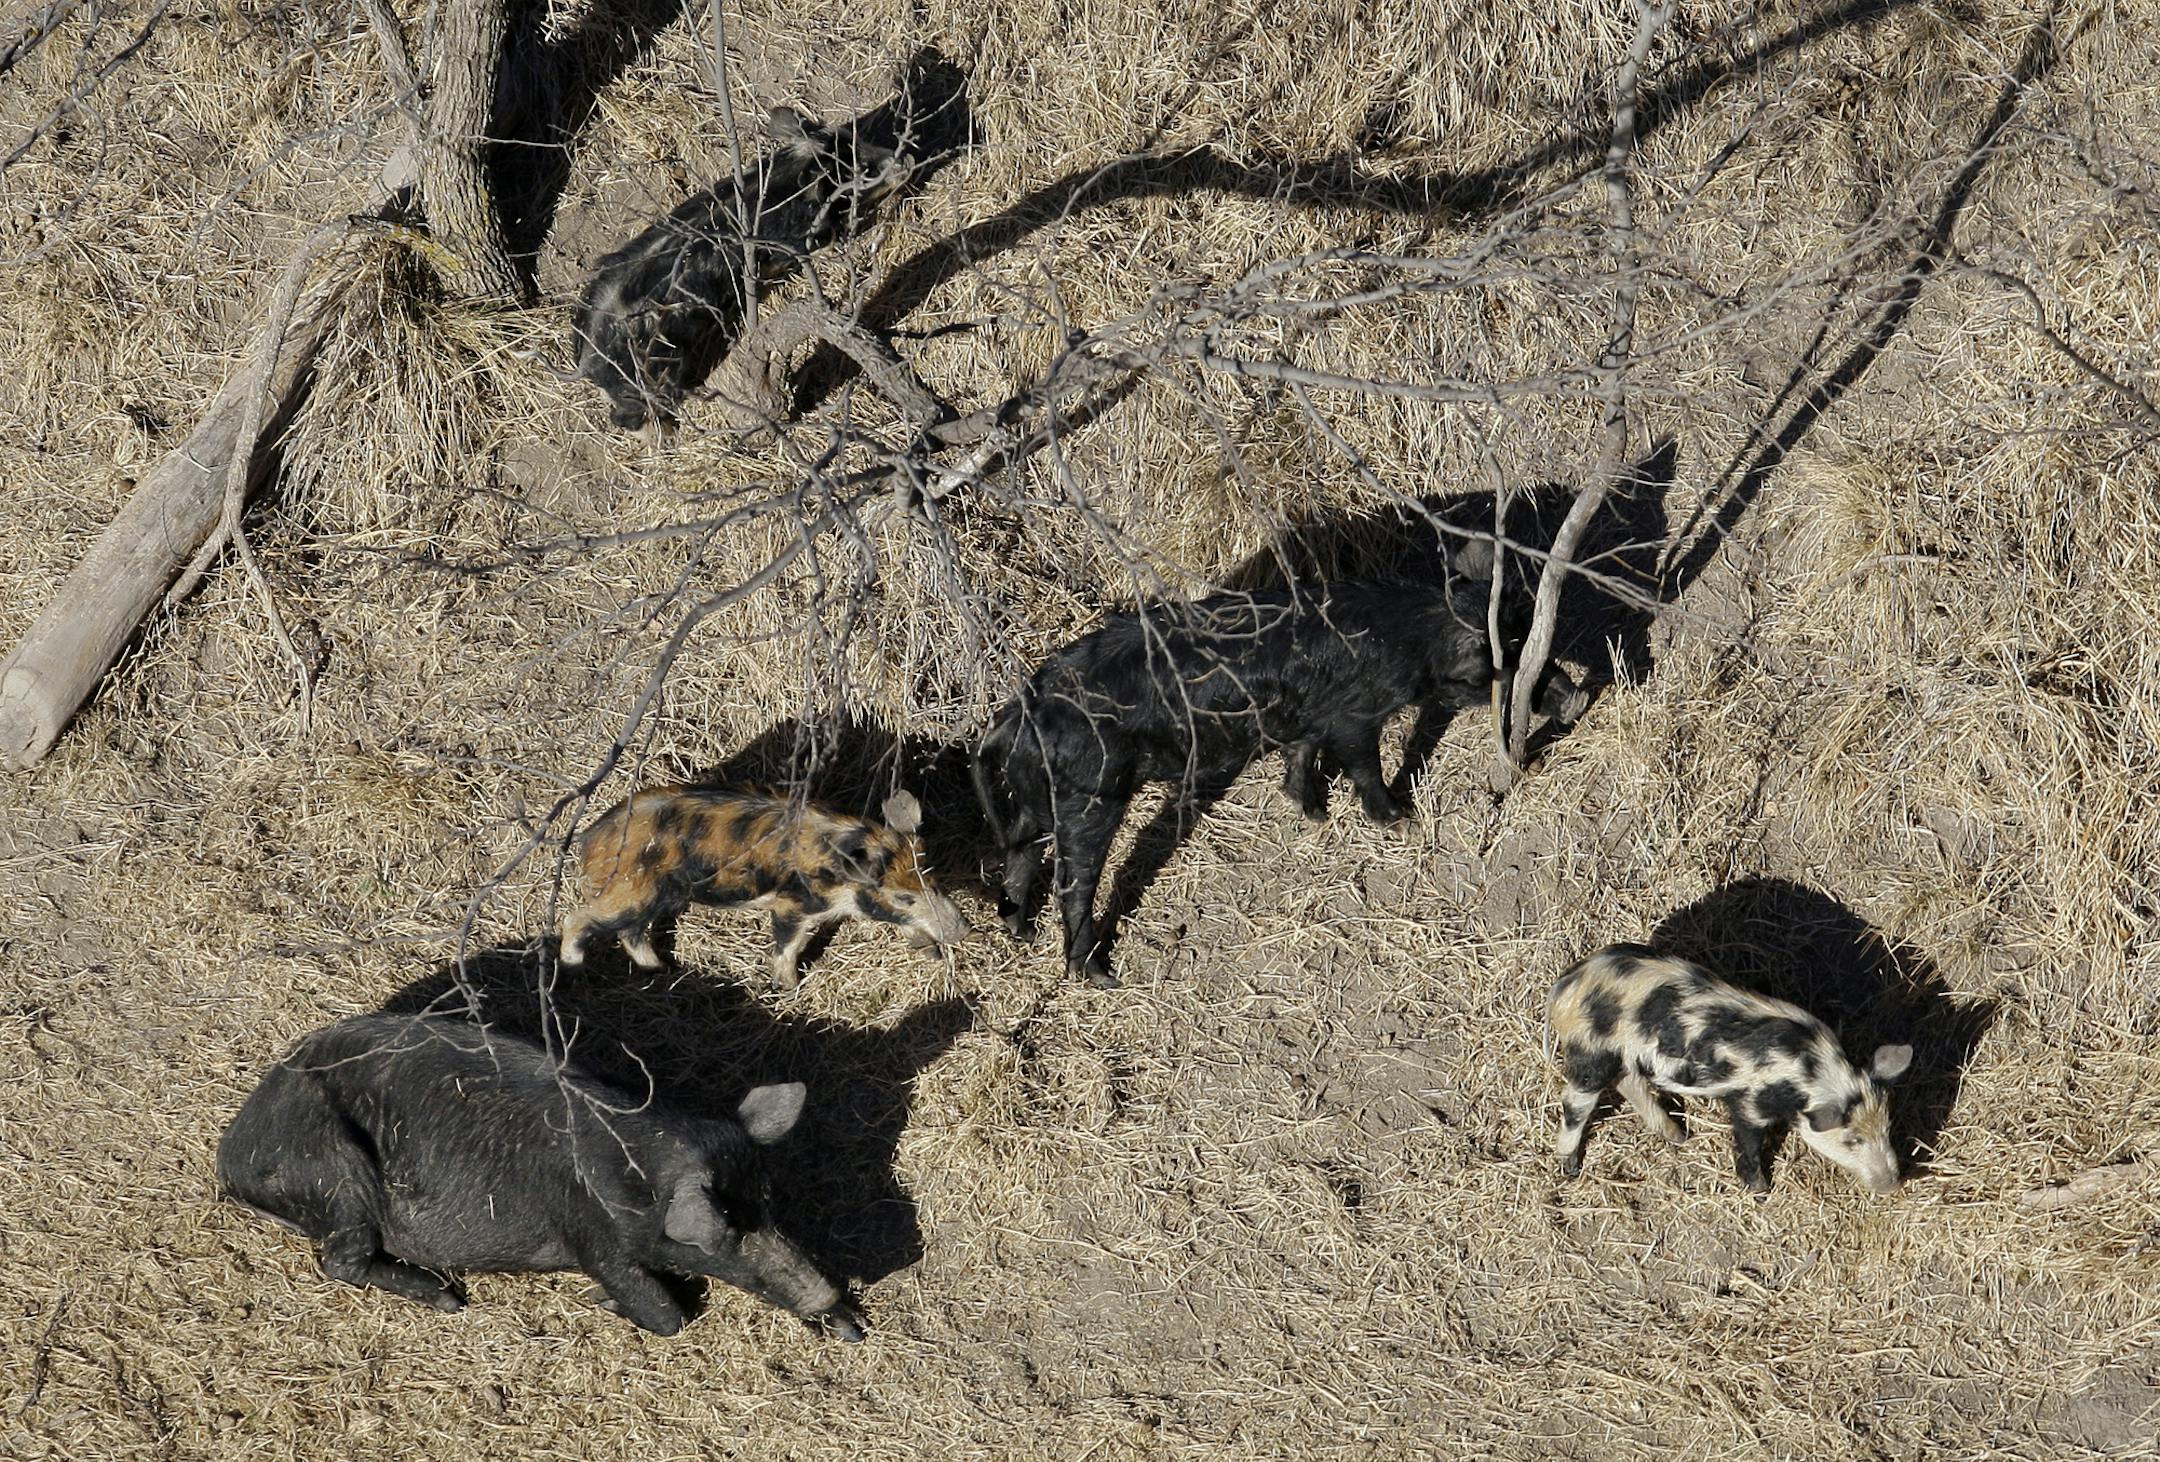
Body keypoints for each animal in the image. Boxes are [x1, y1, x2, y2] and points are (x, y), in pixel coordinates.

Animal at [216, 1013, 865, 1339]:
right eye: (728, 1232)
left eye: (769, 1203)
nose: (827, 1295)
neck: (642, 1179)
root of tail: (230, 1157)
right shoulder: (594, 1234)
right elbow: (668, 1318)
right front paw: (601, 1300)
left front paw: (851, 1323)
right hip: (337, 1168)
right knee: (340, 1260)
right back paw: (449, 1299)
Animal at [558, 785, 969, 988]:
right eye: (904, 896)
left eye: (932, 877)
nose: (964, 930)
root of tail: (590, 839)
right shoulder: (791, 905)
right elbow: (787, 946)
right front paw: (790, 988)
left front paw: (933, 954)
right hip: (631, 891)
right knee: (578, 919)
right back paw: (572, 971)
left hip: (654, 895)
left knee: (630, 932)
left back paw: (661, 970)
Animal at [571, 107, 915, 432]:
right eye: (864, 171)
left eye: (859, 142)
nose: (907, 159)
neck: (781, 185)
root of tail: (587, 358)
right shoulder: (792, 246)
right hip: (655, 371)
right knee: (631, 414)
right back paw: (669, 432)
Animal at [973, 577, 1582, 985]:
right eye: (1505, 657)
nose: (1574, 694)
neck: (1408, 637)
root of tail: (1014, 714)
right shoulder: (1353, 715)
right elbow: (1363, 763)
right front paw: (1399, 821)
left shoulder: (1307, 718)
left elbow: (1302, 752)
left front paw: (1313, 814)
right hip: (1090, 797)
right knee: (1072, 881)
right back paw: (1099, 974)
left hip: (1039, 800)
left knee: (1022, 849)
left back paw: (1019, 931)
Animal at [1548, 943, 1914, 1196]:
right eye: (1852, 1140)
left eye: (1887, 1128)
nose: (1892, 1185)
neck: (1808, 1071)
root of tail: (1565, 986)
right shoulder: (1750, 1102)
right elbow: (1747, 1142)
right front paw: (1761, 1192)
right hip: (1591, 1050)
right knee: (1576, 1101)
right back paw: (1569, 1168)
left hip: (1626, 1054)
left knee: (1628, 1081)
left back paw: (1678, 1136)